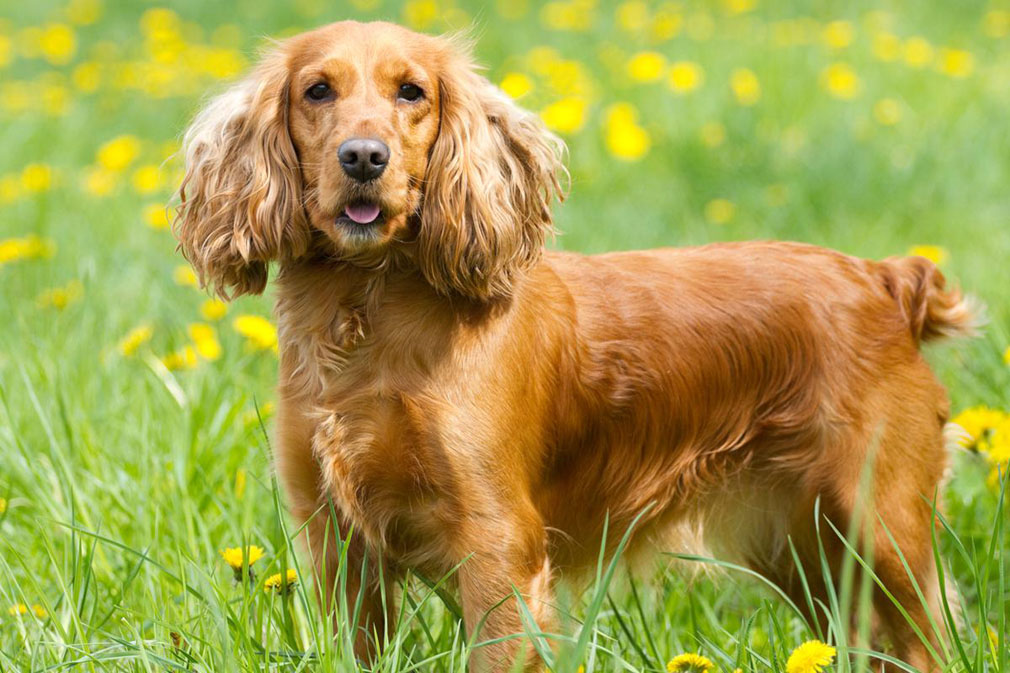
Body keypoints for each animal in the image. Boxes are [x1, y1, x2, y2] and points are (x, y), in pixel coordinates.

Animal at [175, 20, 977, 670]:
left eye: (412, 92)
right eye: (317, 90)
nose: (364, 157)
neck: (367, 315)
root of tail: (886, 279)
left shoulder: (499, 547)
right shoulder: (337, 544)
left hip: (882, 528)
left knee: (925, 641)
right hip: (804, 547)